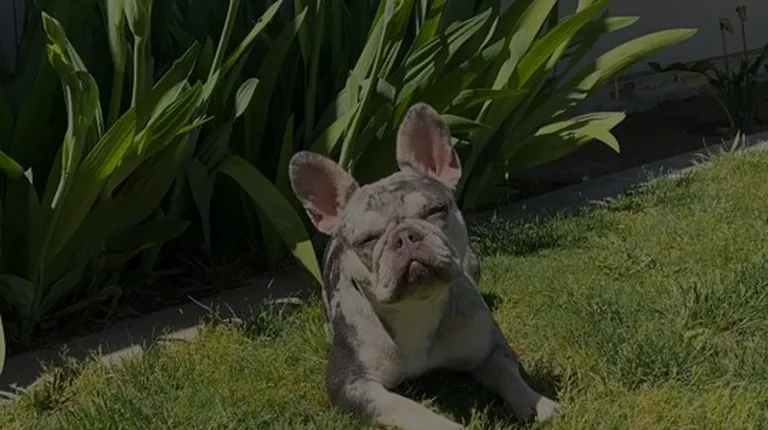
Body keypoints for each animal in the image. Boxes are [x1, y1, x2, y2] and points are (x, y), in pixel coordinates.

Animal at [288, 103, 562, 429]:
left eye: (435, 210)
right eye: (367, 239)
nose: (405, 237)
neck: (415, 306)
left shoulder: (488, 348)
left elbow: (507, 372)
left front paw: (536, 402)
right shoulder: (350, 383)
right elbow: (403, 406)